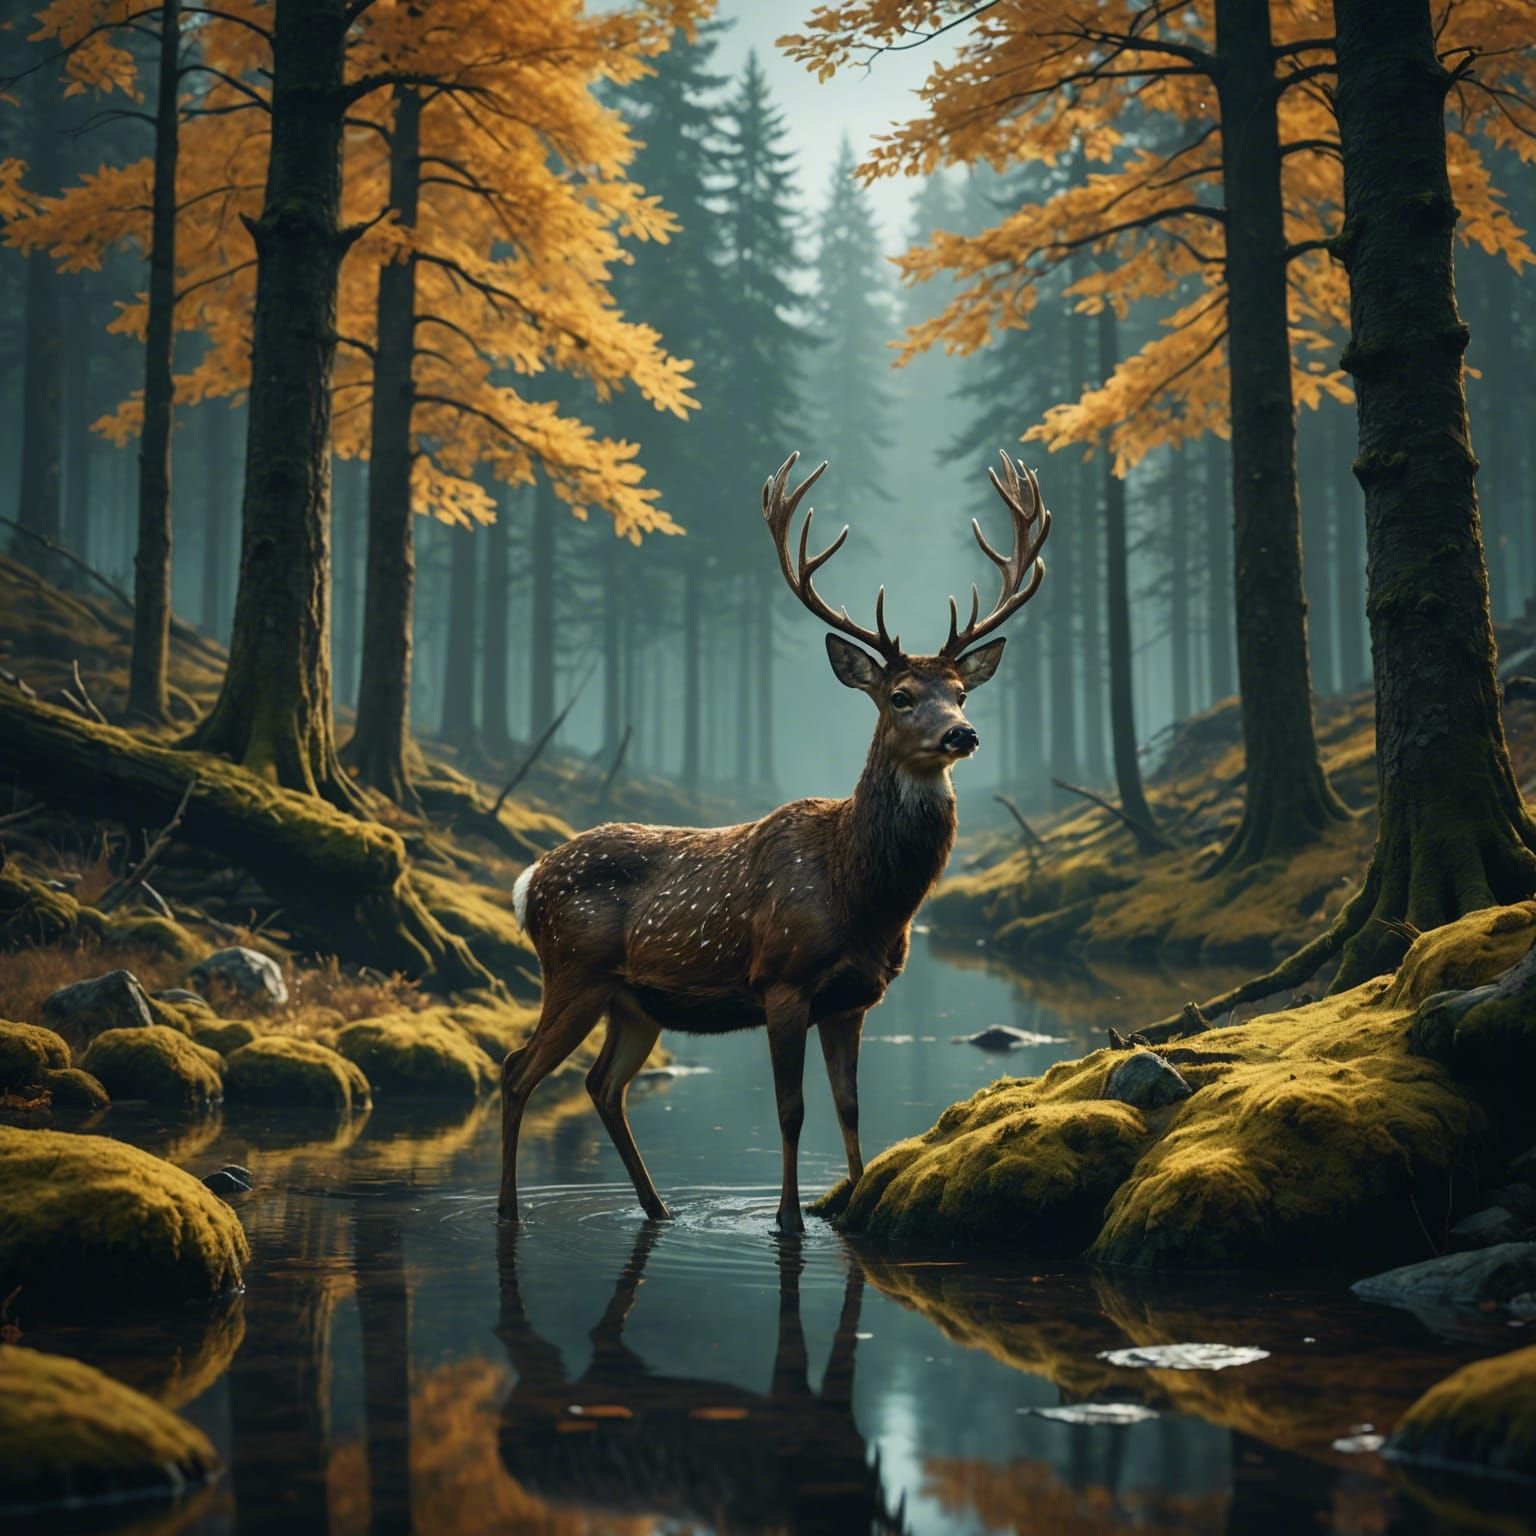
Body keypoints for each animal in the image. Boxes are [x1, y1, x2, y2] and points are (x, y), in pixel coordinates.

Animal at [500, 450, 1052, 1233]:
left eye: (961, 692)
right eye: (899, 697)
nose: (962, 735)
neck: (861, 897)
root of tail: (528, 881)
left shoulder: (854, 998)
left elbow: (850, 1109)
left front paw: (851, 1204)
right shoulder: (782, 981)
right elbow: (791, 1111)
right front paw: (787, 1218)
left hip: (634, 1002)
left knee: (602, 1085)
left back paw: (660, 1209)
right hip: (574, 970)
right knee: (517, 1070)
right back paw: (511, 1212)